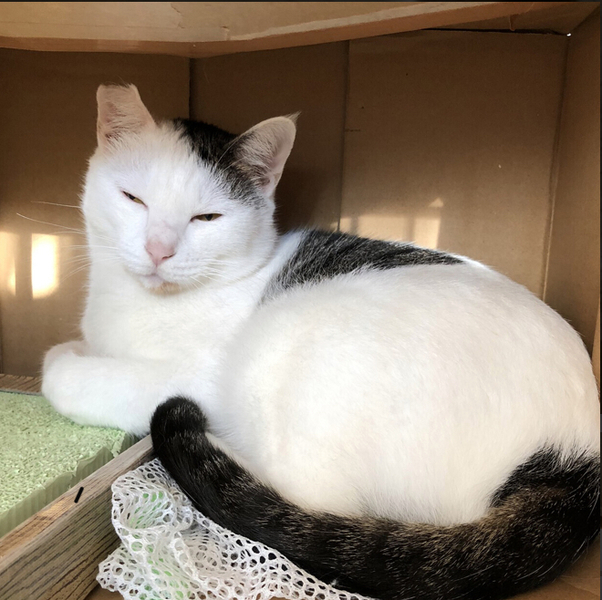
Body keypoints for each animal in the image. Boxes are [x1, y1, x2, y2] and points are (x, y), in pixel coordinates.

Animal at [42, 84, 600, 600]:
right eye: (132, 198)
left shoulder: (195, 375)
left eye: (207, 218)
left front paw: (64, 361)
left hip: (287, 345)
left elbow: (78, 377)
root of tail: (576, 457)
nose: (159, 249)